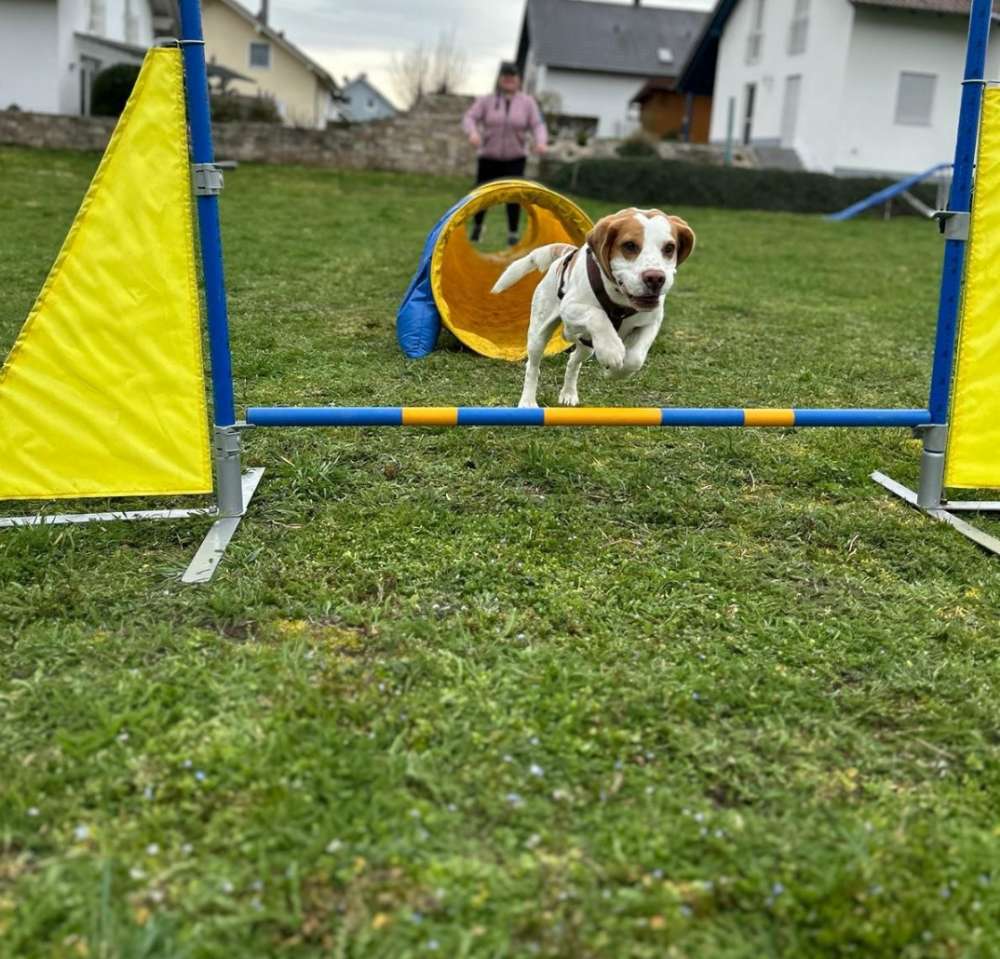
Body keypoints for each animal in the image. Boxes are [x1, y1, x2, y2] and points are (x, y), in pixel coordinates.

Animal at [492, 208, 696, 406]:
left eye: (669, 248)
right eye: (629, 245)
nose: (655, 278)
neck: (620, 300)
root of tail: (565, 255)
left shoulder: (652, 321)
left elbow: (635, 358)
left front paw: (613, 372)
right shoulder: (570, 307)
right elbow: (597, 315)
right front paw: (612, 351)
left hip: (587, 347)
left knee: (573, 361)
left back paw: (568, 394)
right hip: (538, 335)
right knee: (533, 367)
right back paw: (527, 402)